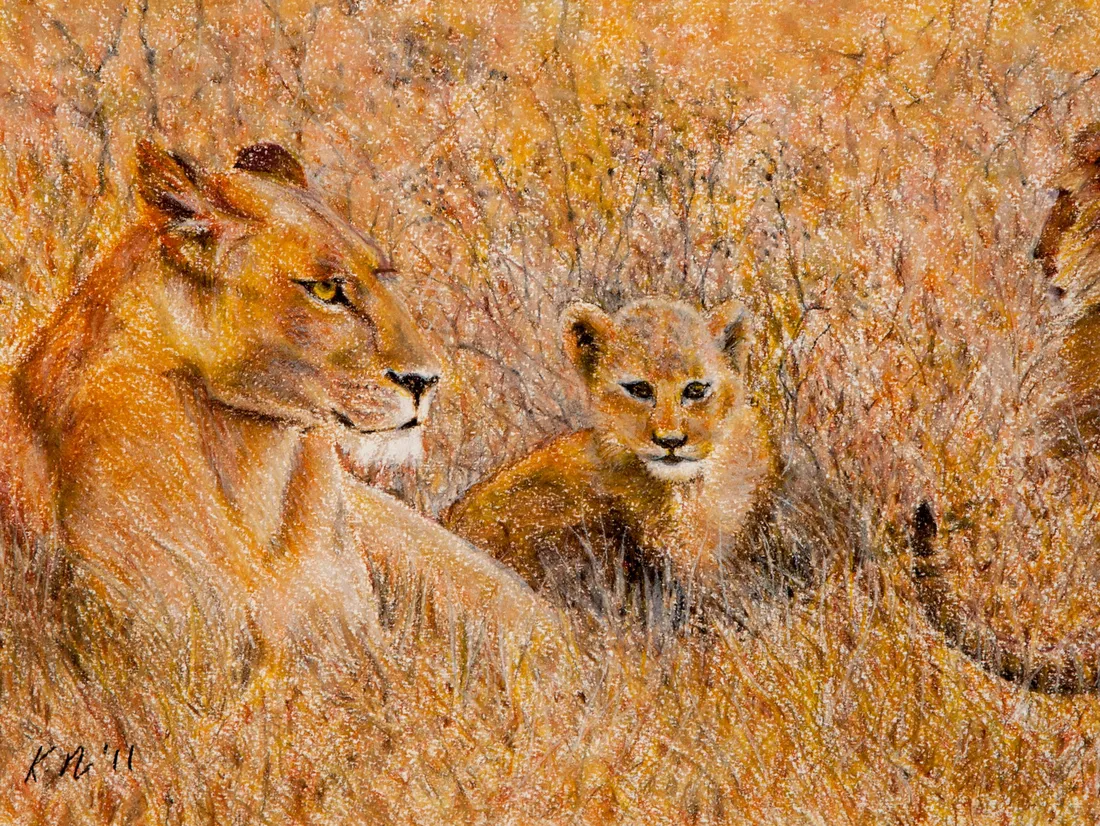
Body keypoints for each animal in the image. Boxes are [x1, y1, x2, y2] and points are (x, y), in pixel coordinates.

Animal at [0, 140, 551, 707]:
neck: (257, 457)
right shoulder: (151, 662)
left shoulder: (355, 650)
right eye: (327, 290)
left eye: (382, 276)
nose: (426, 379)